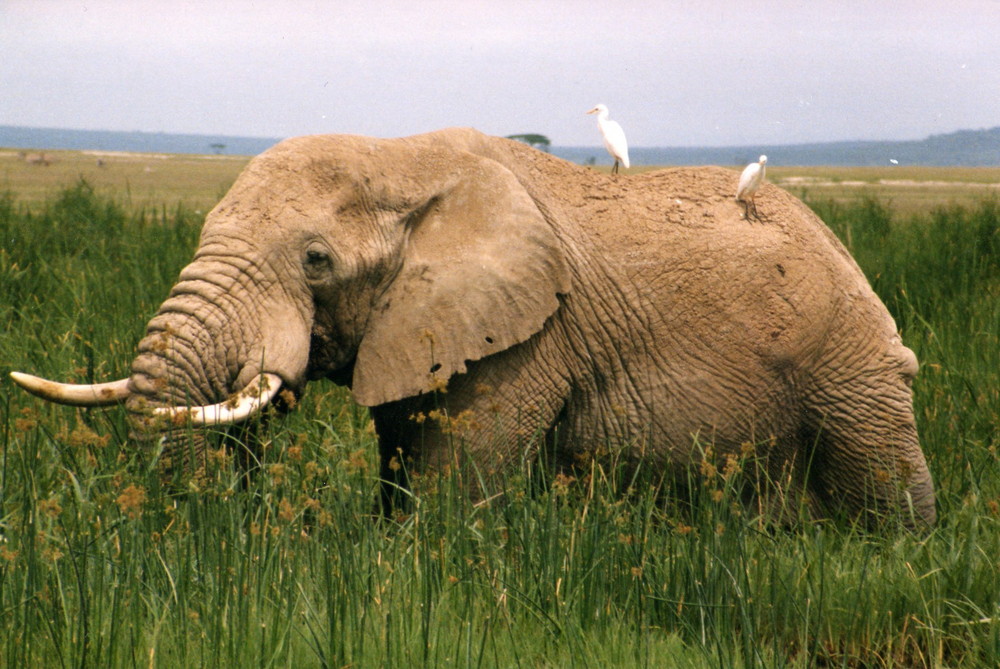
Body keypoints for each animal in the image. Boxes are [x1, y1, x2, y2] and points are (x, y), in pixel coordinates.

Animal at [11, 128, 936, 528]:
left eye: (315, 260)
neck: (402, 154)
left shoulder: (528, 336)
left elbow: (456, 480)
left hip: (848, 363)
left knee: (887, 484)